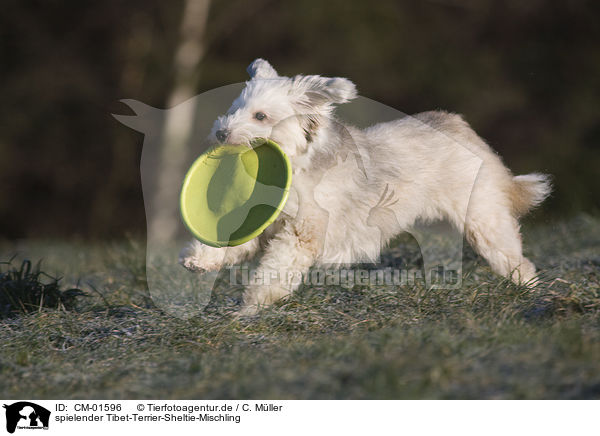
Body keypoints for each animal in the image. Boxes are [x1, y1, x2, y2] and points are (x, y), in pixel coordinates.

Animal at [179, 58, 552, 316]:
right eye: (234, 110)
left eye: (260, 117)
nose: (221, 132)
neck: (296, 163)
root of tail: (459, 125)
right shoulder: (261, 223)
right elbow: (229, 242)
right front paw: (199, 260)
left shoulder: (302, 234)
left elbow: (274, 271)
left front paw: (252, 306)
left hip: (483, 221)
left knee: (517, 261)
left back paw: (531, 293)